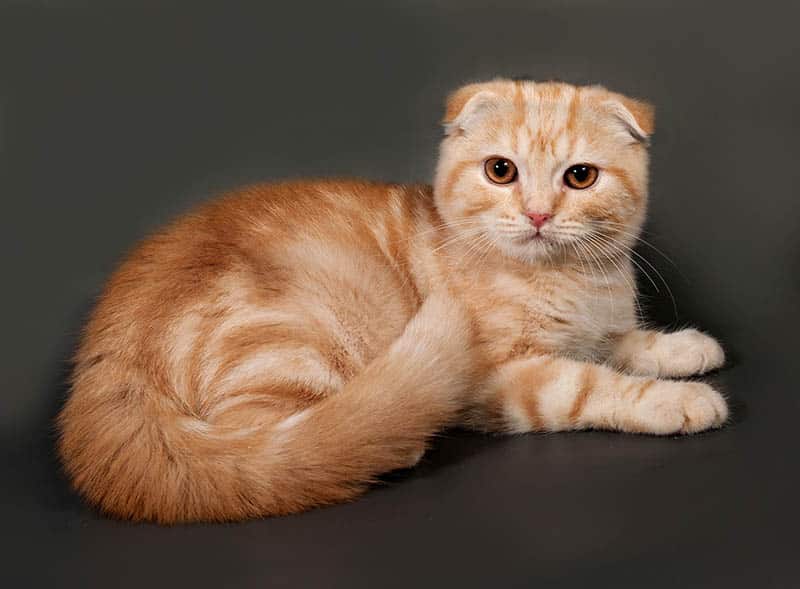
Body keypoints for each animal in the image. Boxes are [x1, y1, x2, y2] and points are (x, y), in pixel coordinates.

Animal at [59, 79, 728, 524]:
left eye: (580, 177)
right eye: (501, 170)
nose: (537, 215)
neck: (568, 281)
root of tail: (109, 355)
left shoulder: (598, 329)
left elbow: (623, 343)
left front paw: (685, 349)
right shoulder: (499, 376)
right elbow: (588, 384)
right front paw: (679, 401)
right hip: (291, 339)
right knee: (261, 445)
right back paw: (391, 438)